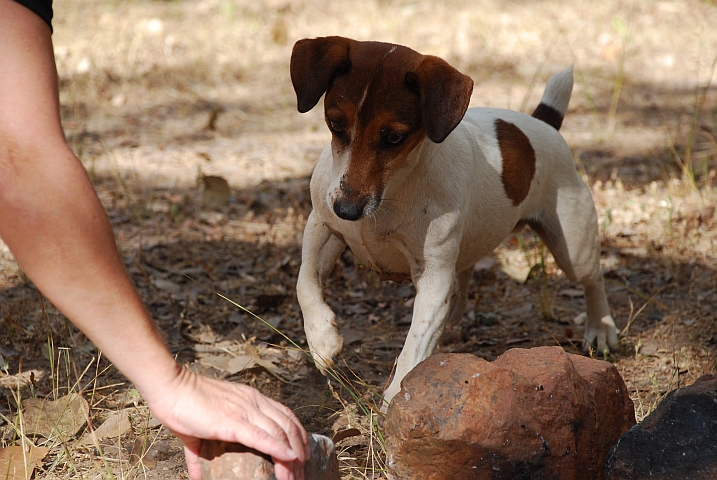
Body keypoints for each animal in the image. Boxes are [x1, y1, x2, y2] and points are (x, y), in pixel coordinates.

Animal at [288, 35, 620, 406]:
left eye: (394, 138)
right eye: (335, 124)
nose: (347, 210)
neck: (393, 190)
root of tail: (544, 123)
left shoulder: (433, 275)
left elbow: (415, 345)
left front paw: (396, 396)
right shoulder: (322, 226)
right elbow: (305, 281)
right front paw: (321, 339)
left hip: (572, 249)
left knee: (593, 280)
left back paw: (601, 327)